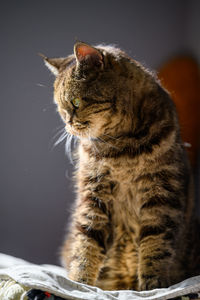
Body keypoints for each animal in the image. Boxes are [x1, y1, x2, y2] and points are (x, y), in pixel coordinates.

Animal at [41, 42, 199, 290]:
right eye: (60, 108)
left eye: (76, 102)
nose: (67, 123)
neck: (120, 149)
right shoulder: (94, 196)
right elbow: (86, 245)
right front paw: (80, 285)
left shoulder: (160, 198)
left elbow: (155, 246)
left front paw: (152, 287)